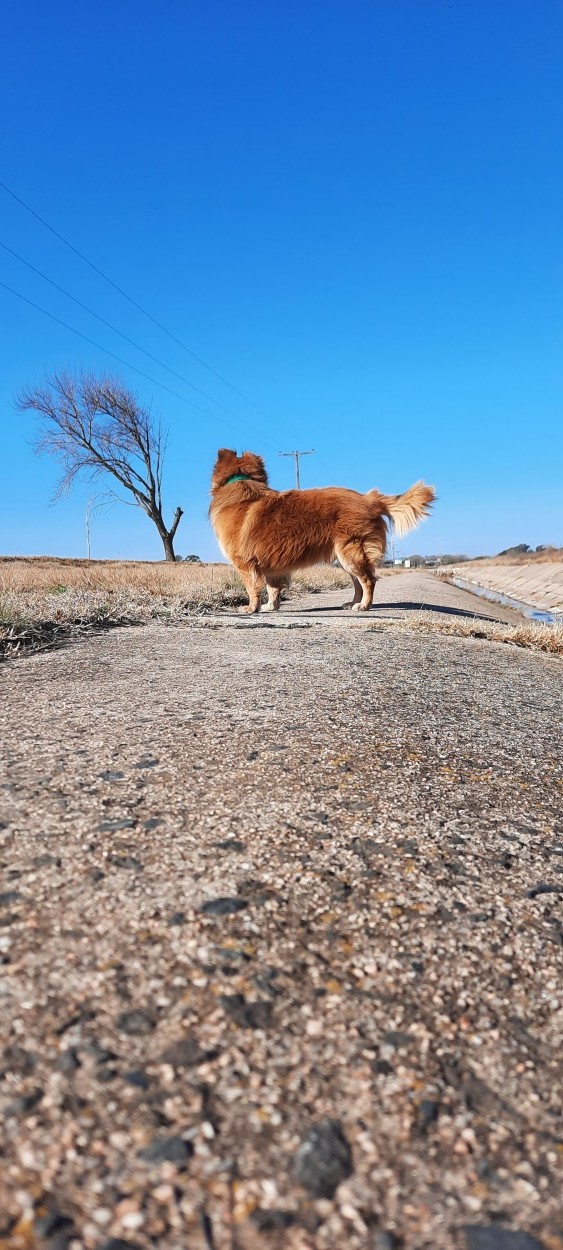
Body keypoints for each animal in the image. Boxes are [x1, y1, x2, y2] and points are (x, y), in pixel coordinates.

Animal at [211, 450, 435, 615]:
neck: (240, 482)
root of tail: (369, 498)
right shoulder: (271, 567)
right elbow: (272, 588)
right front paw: (270, 606)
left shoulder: (245, 564)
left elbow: (252, 588)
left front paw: (252, 608)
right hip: (344, 557)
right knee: (358, 582)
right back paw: (353, 603)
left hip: (351, 553)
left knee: (368, 580)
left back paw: (364, 605)